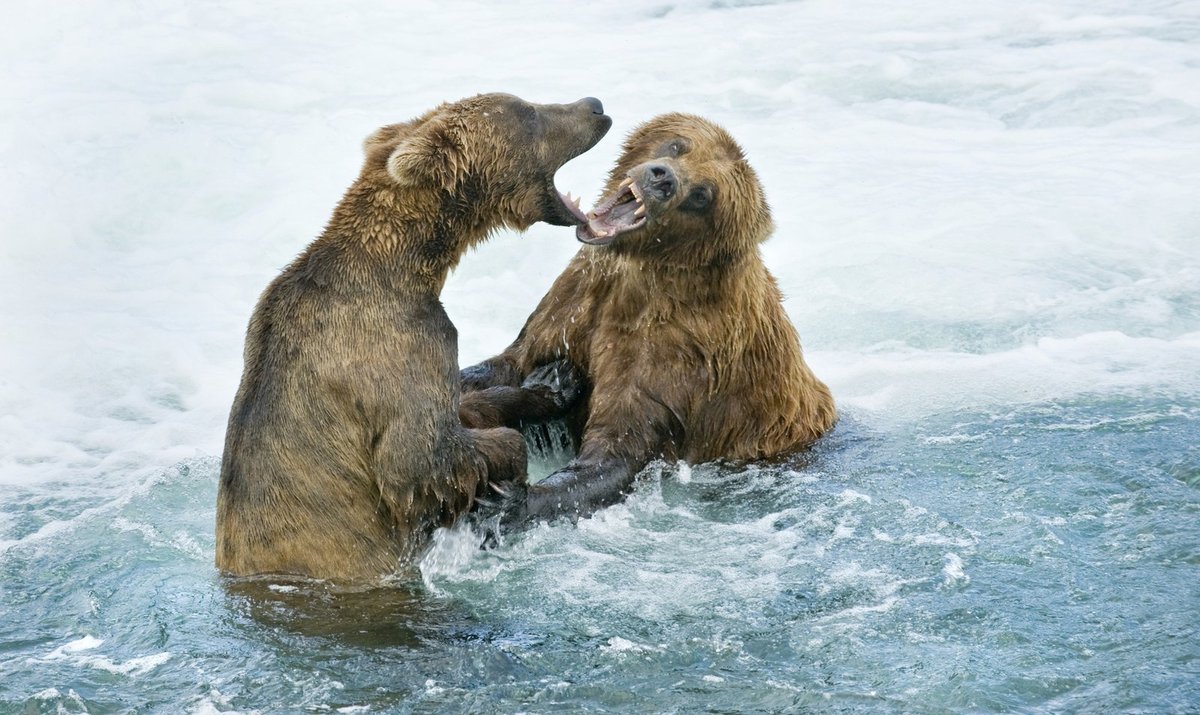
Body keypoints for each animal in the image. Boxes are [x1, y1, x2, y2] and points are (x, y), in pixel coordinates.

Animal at [216, 92, 609, 580]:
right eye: (530, 113)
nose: (594, 105)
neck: (410, 266)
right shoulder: (399, 342)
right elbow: (420, 460)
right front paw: (506, 468)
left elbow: (463, 409)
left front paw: (553, 381)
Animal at [458, 113, 835, 525]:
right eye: (678, 145)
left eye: (703, 195)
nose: (662, 178)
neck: (640, 273)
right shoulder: (574, 303)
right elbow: (510, 362)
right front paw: (543, 382)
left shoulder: (675, 350)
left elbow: (619, 446)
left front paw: (507, 500)